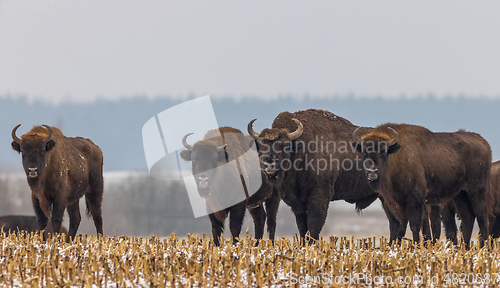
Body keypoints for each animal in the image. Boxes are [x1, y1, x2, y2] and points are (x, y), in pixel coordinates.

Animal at [248, 109, 380, 243]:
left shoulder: (319, 194)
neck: (301, 149)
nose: (269, 165)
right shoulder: (296, 202)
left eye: (285, 145)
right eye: (261, 145)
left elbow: (314, 223)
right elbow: (302, 226)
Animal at [352, 124, 492, 248]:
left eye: (384, 151)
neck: (396, 157)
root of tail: (484, 142)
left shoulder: (415, 200)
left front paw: (416, 247)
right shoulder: (391, 203)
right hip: (460, 194)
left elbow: (414, 225)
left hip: (477, 191)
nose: (372, 172)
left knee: (482, 218)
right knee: (468, 218)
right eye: (364, 152)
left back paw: (484, 247)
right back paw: (464, 248)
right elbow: (396, 227)